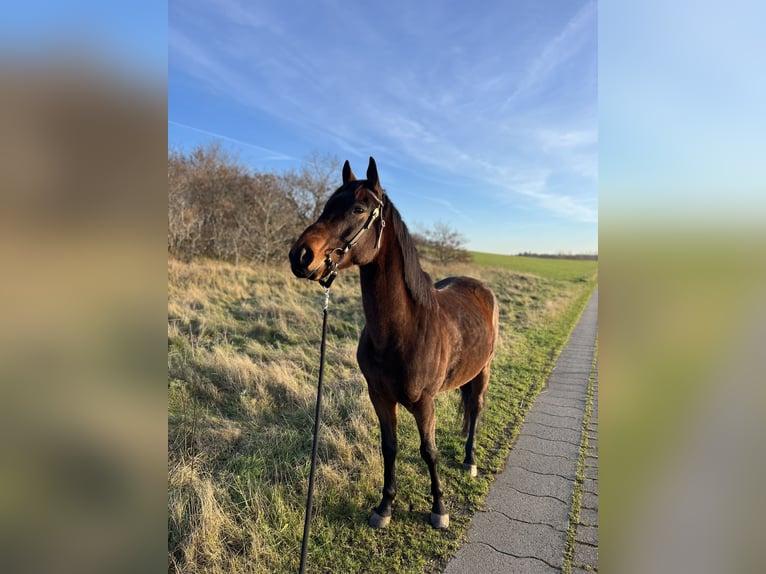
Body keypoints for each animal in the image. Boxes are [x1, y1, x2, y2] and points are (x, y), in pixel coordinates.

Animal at [288, 158, 498, 532]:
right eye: (327, 205)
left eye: (358, 209)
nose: (300, 255)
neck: (401, 332)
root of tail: (479, 287)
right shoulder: (380, 397)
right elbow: (390, 447)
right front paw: (385, 506)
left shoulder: (425, 402)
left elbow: (429, 451)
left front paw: (439, 508)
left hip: (483, 372)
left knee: (475, 409)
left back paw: (470, 460)